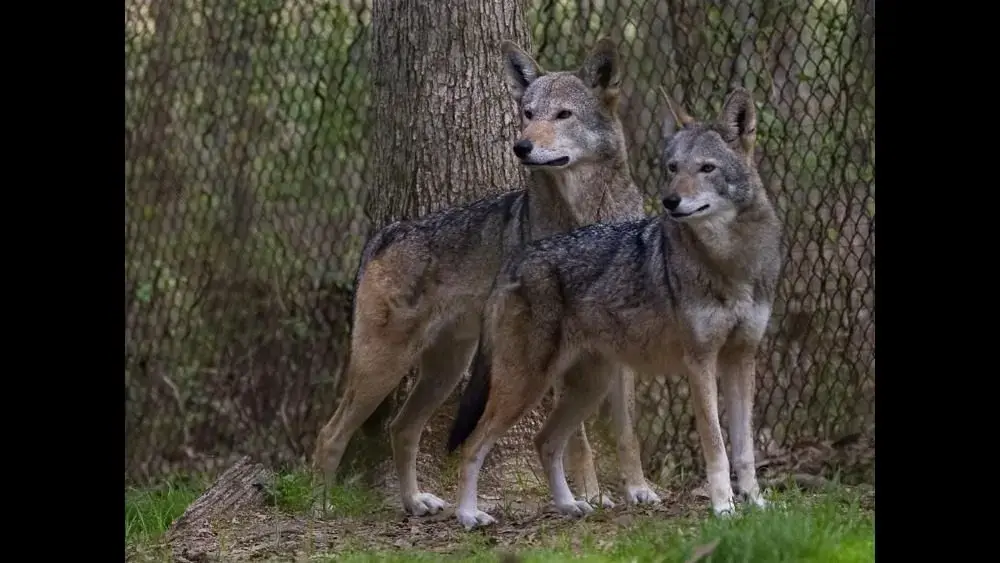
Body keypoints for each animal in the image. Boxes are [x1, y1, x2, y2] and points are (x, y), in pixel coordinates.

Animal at [311, 37, 661, 517]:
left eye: (563, 115)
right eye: (528, 113)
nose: (521, 146)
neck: (586, 216)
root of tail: (388, 232)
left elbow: (627, 431)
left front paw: (639, 489)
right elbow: (578, 441)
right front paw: (590, 494)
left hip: (445, 371)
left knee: (401, 428)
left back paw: (415, 501)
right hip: (383, 367)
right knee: (330, 434)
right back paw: (321, 506)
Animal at [446, 87, 783, 529]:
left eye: (707, 168)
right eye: (673, 168)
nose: (670, 201)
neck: (731, 264)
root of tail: (514, 260)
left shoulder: (741, 359)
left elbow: (744, 450)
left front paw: (757, 505)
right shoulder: (700, 363)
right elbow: (716, 445)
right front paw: (723, 508)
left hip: (591, 385)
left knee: (545, 441)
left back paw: (570, 505)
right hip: (527, 385)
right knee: (473, 445)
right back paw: (469, 516)